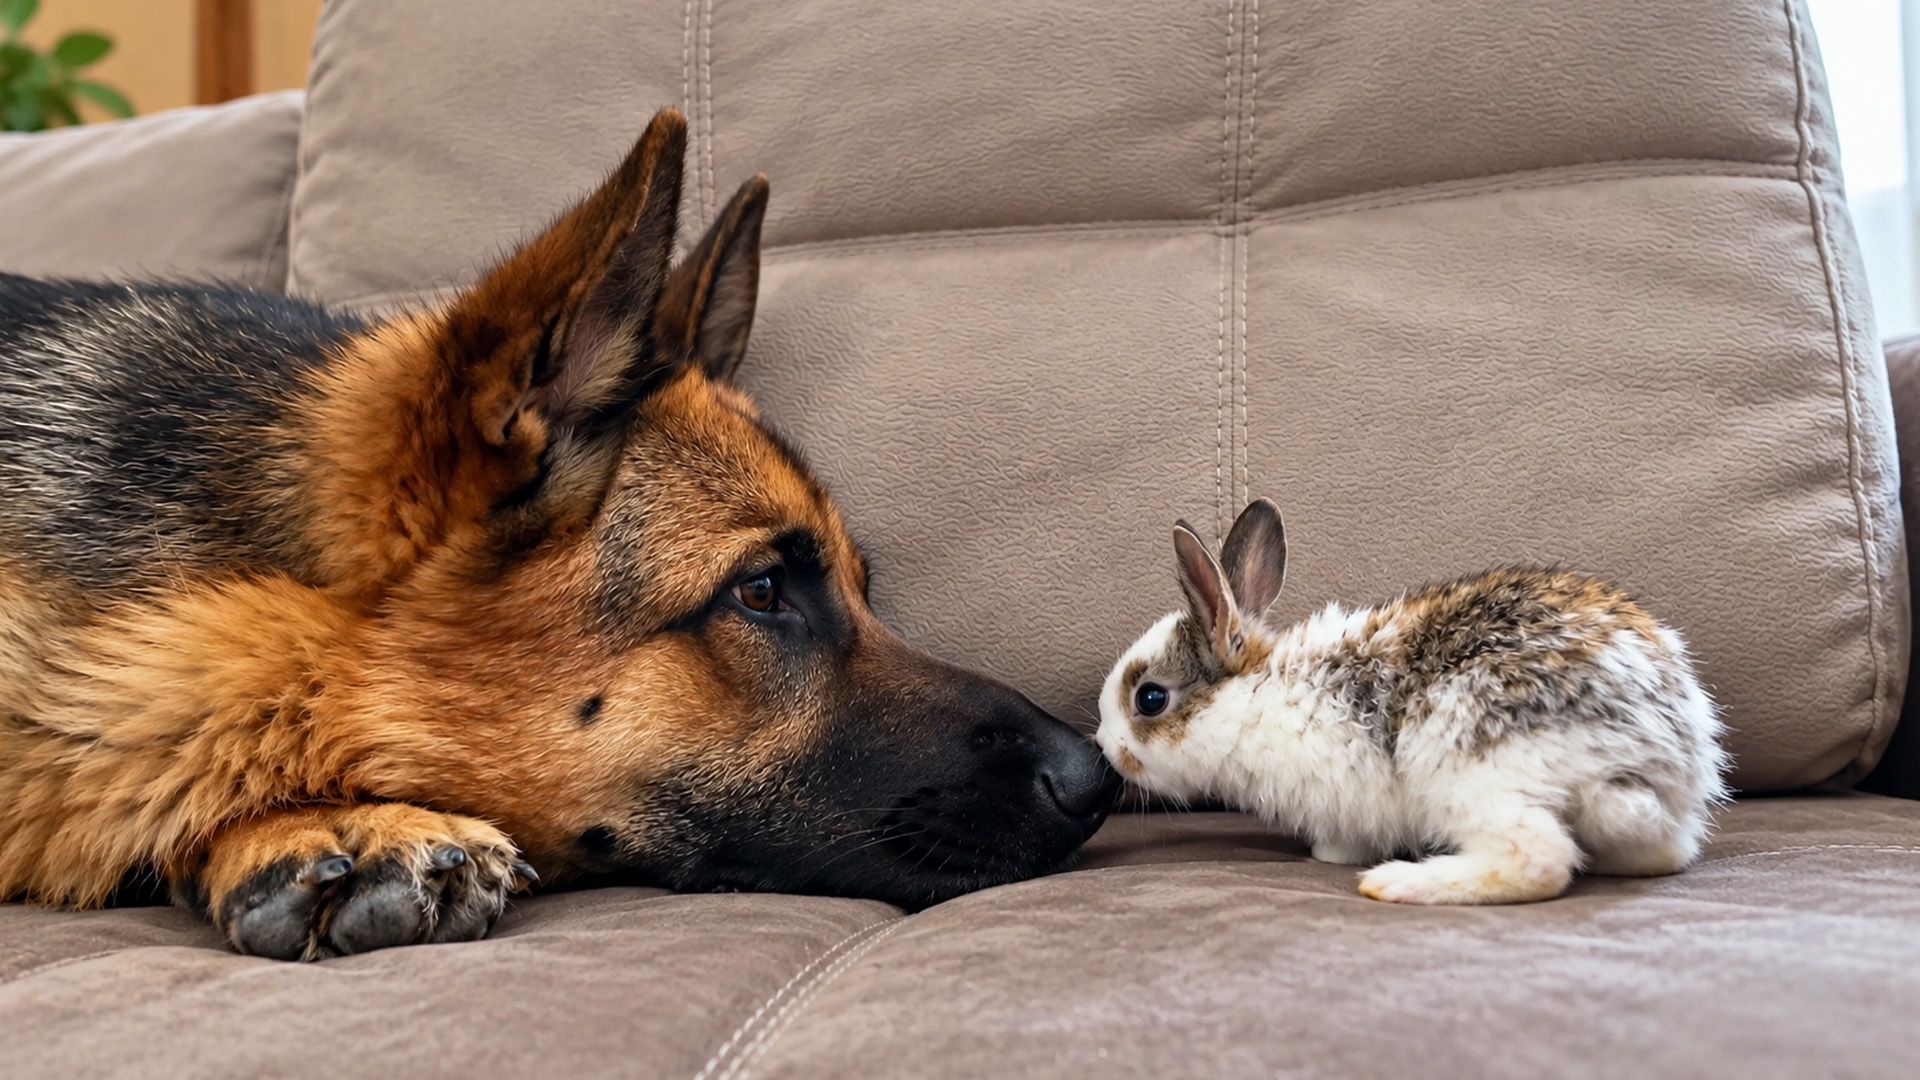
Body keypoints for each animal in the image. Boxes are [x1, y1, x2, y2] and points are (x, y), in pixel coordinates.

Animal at [1096, 498, 1729, 904]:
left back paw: (1399, 882)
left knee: (1539, 858)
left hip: (1467, 765)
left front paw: (1330, 857)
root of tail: (1657, 752)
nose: (1104, 746)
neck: (1255, 695)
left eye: (1149, 698)